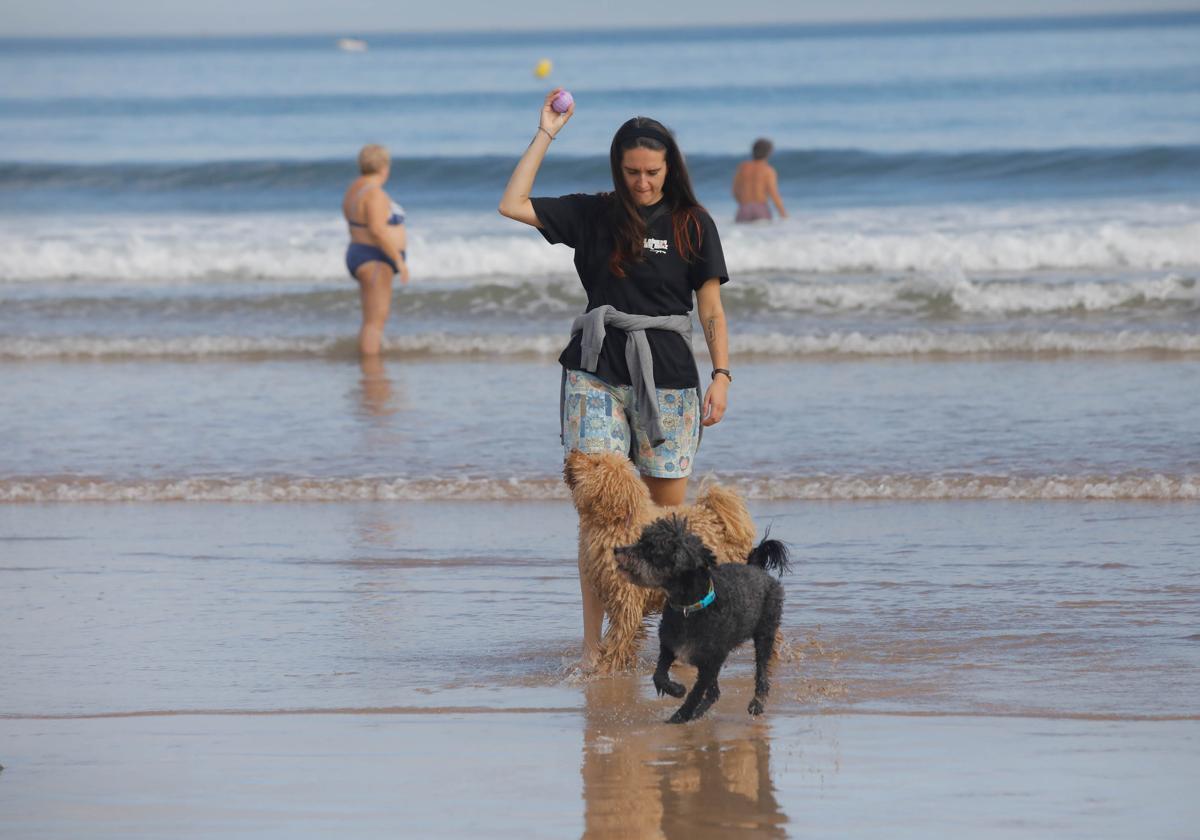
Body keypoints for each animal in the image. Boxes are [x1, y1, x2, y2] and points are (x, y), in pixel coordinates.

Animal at [564, 448, 753, 672]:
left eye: (596, 464)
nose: (573, 450)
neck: (619, 524)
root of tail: (717, 519)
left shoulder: (627, 598)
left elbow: (619, 635)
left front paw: (606, 667)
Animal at [614, 511, 792, 720]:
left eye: (651, 549)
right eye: (641, 541)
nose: (616, 550)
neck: (689, 609)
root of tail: (757, 568)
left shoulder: (710, 662)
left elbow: (696, 692)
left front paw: (680, 716)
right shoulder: (670, 645)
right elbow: (659, 675)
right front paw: (677, 690)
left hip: (765, 631)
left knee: (761, 670)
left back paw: (757, 703)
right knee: (715, 692)